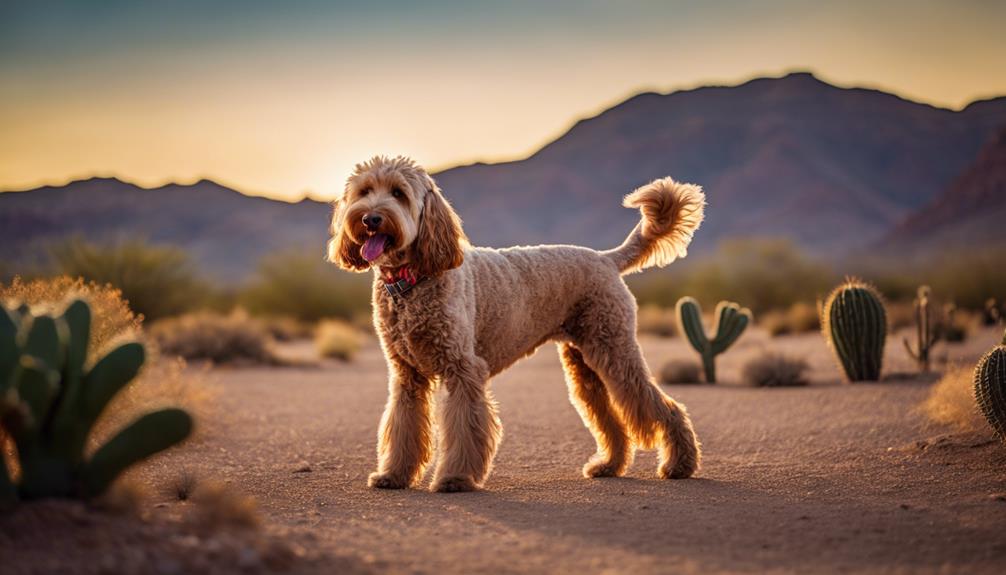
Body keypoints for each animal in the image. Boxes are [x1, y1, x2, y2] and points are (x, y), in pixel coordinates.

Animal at [325, 154, 704, 492]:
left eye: (399, 193)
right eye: (364, 191)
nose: (371, 219)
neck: (411, 280)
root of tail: (605, 258)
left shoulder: (463, 370)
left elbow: (465, 430)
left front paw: (455, 478)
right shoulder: (407, 377)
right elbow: (402, 428)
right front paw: (394, 475)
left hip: (615, 351)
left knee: (664, 406)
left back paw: (679, 464)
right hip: (585, 364)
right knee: (608, 418)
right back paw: (610, 465)